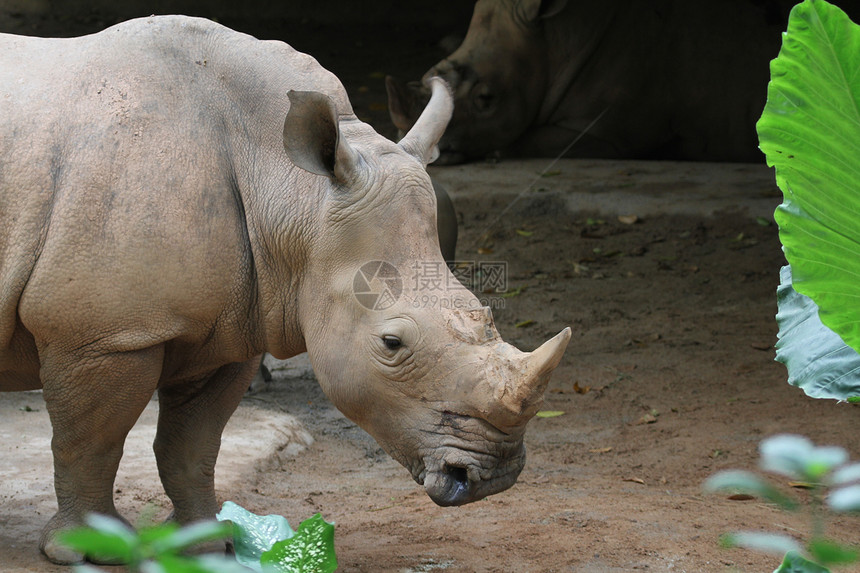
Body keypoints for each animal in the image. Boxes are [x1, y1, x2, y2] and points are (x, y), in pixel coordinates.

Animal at [0, 16, 572, 564]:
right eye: (392, 343)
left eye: (483, 312)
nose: (493, 477)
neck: (290, 190)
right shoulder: (104, 334)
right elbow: (91, 442)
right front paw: (85, 551)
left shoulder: (225, 331)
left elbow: (193, 445)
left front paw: (207, 546)